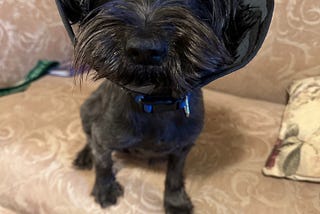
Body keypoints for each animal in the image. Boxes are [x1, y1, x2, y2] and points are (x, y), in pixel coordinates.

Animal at [57, 0, 272, 213]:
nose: (144, 50)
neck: (156, 104)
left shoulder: (183, 147)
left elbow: (175, 176)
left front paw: (175, 202)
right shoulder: (103, 136)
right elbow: (103, 163)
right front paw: (105, 189)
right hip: (88, 109)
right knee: (89, 139)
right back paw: (84, 156)